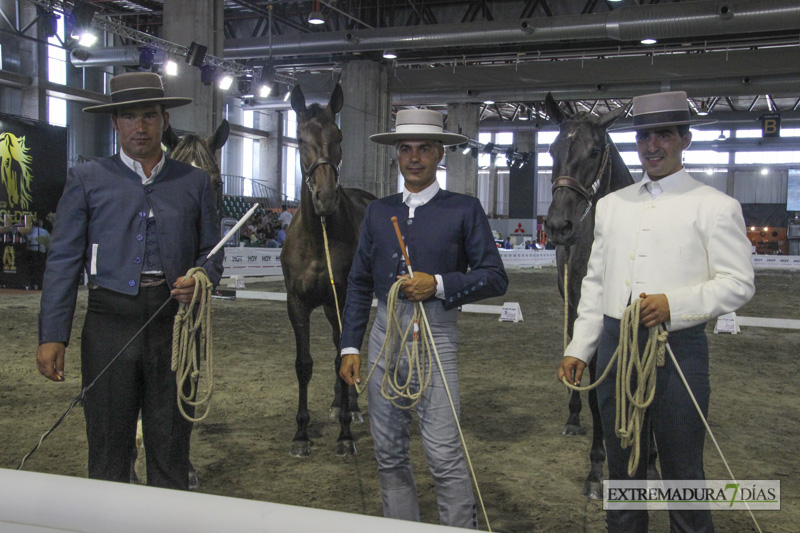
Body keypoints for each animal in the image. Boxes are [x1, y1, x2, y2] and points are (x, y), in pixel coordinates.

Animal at [282, 84, 376, 458]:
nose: (325, 197)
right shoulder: (297, 304)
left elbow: (342, 358)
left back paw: (350, 407)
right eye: (299, 138)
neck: (318, 233)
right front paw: (301, 434)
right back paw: (339, 404)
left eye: (338, 136)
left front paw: (345, 435)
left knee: (349, 347)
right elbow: (303, 364)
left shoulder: (345, 300)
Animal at [540, 92, 660, 498]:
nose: (559, 226)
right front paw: (596, 469)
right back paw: (573, 418)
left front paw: (651, 460)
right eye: (552, 149)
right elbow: (595, 391)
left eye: (595, 151)